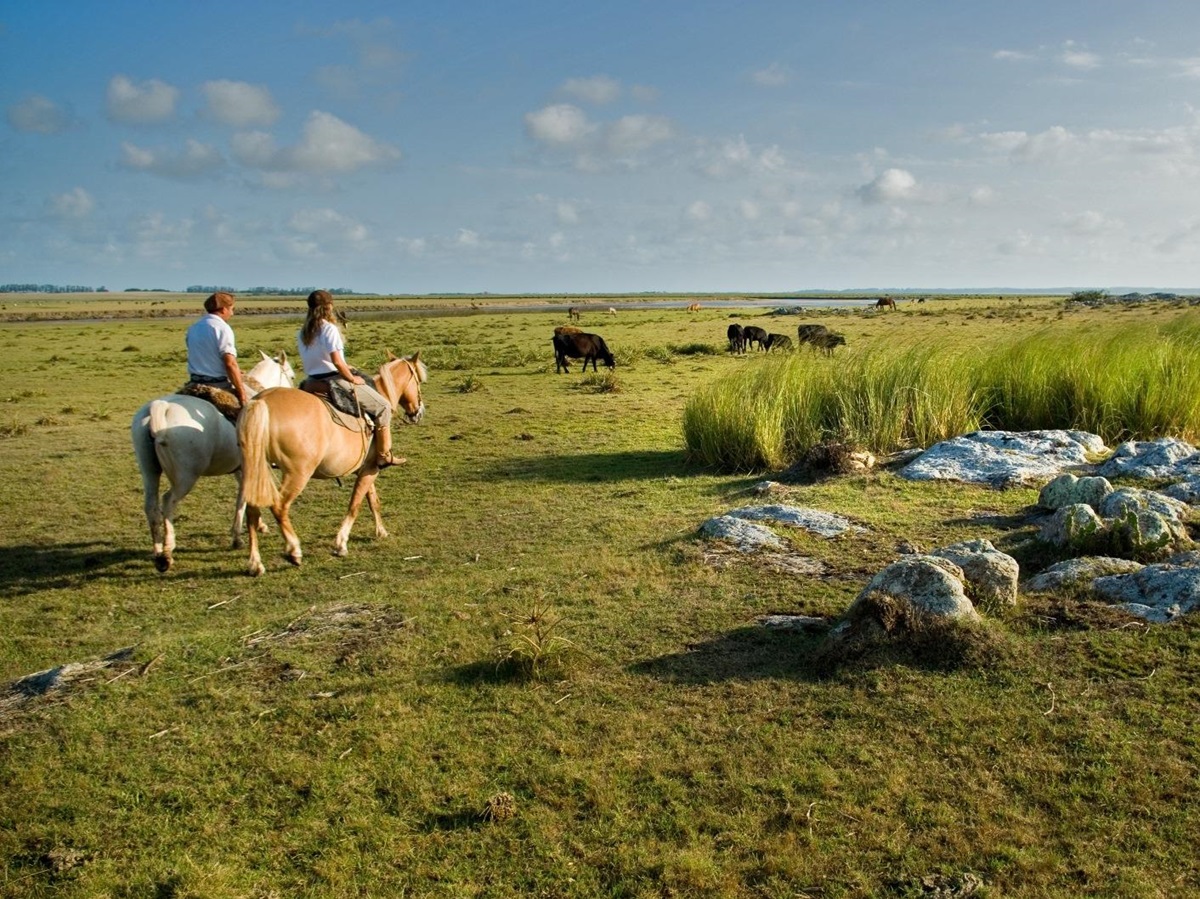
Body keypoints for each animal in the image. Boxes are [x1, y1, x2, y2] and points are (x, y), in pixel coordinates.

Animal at [131, 351, 295, 572]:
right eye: (292, 376)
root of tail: (160, 408)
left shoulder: (241, 468)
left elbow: (244, 495)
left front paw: (256, 526)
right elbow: (245, 497)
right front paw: (238, 537)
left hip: (149, 470)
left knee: (151, 506)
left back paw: (157, 553)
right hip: (185, 477)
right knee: (167, 501)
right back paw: (166, 553)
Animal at [238, 352, 427, 576]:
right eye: (418, 381)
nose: (418, 411)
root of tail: (261, 402)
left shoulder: (366, 469)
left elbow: (372, 500)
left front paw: (381, 531)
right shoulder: (371, 469)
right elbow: (355, 504)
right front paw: (341, 543)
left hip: (257, 470)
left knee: (252, 509)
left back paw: (255, 563)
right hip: (297, 474)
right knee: (279, 506)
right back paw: (294, 551)